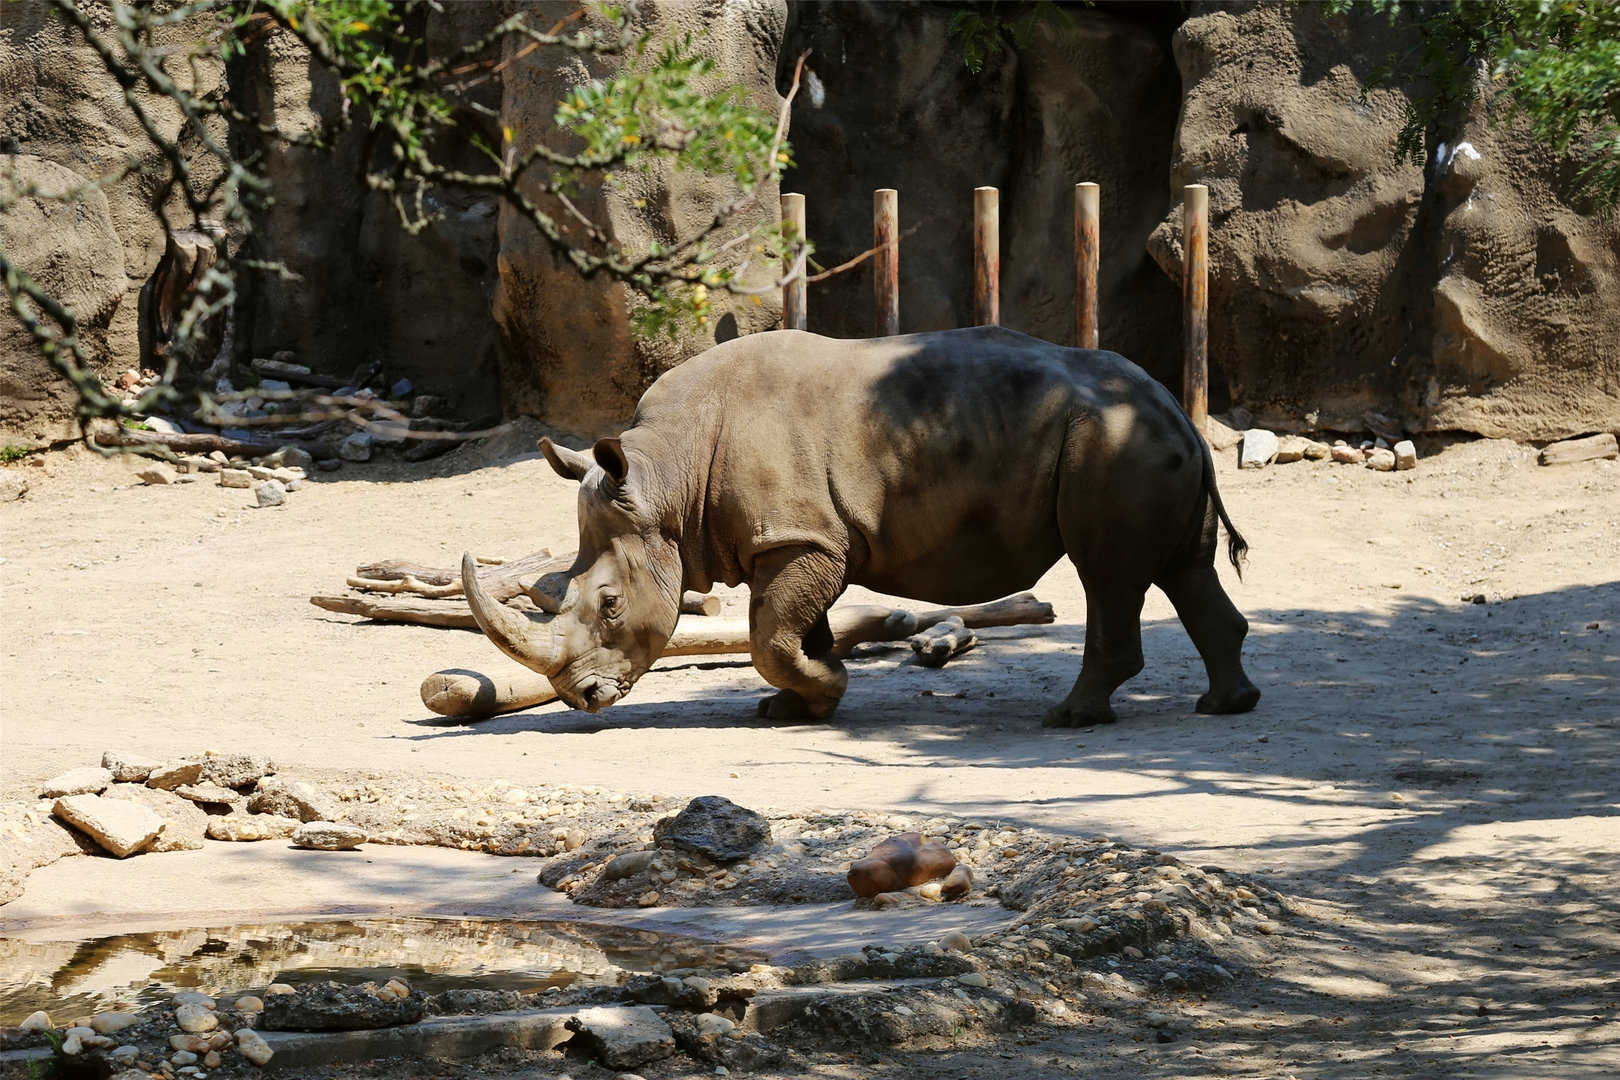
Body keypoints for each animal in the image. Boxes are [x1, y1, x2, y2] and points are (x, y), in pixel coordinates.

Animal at [463, 325, 1260, 726]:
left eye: (609, 604)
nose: (582, 699)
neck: (665, 479)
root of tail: (1176, 406)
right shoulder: (797, 538)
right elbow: (787, 628)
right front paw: (795, 704)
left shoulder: (800, 538)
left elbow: (770, 635)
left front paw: (825, 689)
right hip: (1144, 444)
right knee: (1183, 569)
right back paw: (1225, 705)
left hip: (1114, 448)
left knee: (1109, 576)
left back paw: (1071, 718)